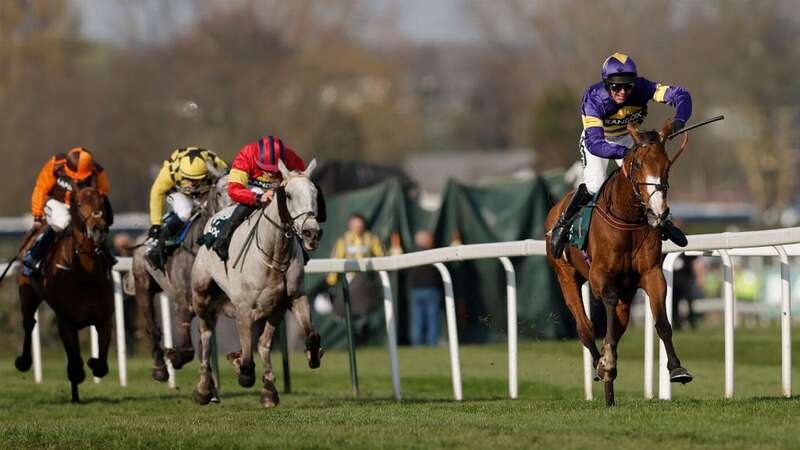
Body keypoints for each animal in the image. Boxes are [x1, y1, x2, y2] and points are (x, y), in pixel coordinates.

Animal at [14, 185, 114, 402]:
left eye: (102, 202)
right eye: (79, 203)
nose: (99, 229)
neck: (85, 274)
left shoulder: (104, 319)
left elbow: (102, 365)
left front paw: (93, 362)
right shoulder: (65, 322)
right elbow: (75, 363)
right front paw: (79, 373)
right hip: (28, 293)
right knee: (28, 323)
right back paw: (24, 361)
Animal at [128, 172, 228, 384]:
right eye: (219, 192)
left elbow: (203, 341)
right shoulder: (184, 302)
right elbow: (187, 348)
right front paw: (175, 357)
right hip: (143, 286)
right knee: (152, 327)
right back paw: (159, 368)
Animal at [189, 159, 324, 408]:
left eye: (315, 193)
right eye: (288, 195)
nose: (312, 233)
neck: (274, 254)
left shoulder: (292, 299)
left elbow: (309, 335)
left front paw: (312, 356)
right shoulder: (244, 310)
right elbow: (246, 357)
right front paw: (242, 370)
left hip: (272, 310)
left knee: (262, 343)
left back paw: (268, 388)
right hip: (201, 294)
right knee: (205, 335)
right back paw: (203, 388)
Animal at [544, 121, 692, 406]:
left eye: (666, 165)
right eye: (637, 164)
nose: (658, 211)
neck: (628, 219)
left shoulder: (651, 274)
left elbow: (662, 323)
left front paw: (677, 369)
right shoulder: (600, 276)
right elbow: (606, 316)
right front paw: (607, 363)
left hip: (627, 291)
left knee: (619, 324)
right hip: (565, 276)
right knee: (585, 328)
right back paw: (601, 367)